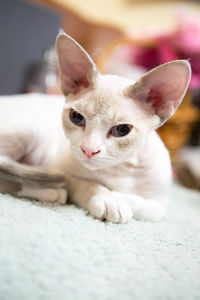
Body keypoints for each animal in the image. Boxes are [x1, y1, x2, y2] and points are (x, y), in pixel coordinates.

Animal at [0, 34, 191, 224]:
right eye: (77, 117)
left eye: (122, 130)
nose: (88, 150)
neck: (120, 169)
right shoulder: (59, 169)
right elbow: (89, 184)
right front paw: (108, 200)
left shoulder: (160, 204)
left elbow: (145, 207)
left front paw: (116, 199)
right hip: (30, 130)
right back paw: (51, 192)